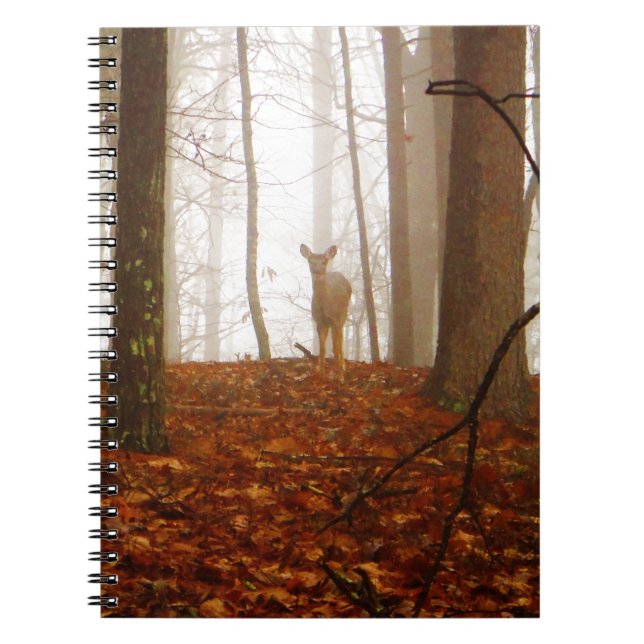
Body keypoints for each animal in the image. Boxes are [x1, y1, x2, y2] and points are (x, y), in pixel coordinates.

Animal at [300, 244, 352, 383]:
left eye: (324, 261)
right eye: (310, 260)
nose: (316, 271)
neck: (325, 305)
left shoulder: (335, 319)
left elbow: (335, 347)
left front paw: (340, 377)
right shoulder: (319, 321)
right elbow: (322, 348)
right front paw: (321, 374)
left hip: (343, 314)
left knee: (340, 339)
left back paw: (343, 366)